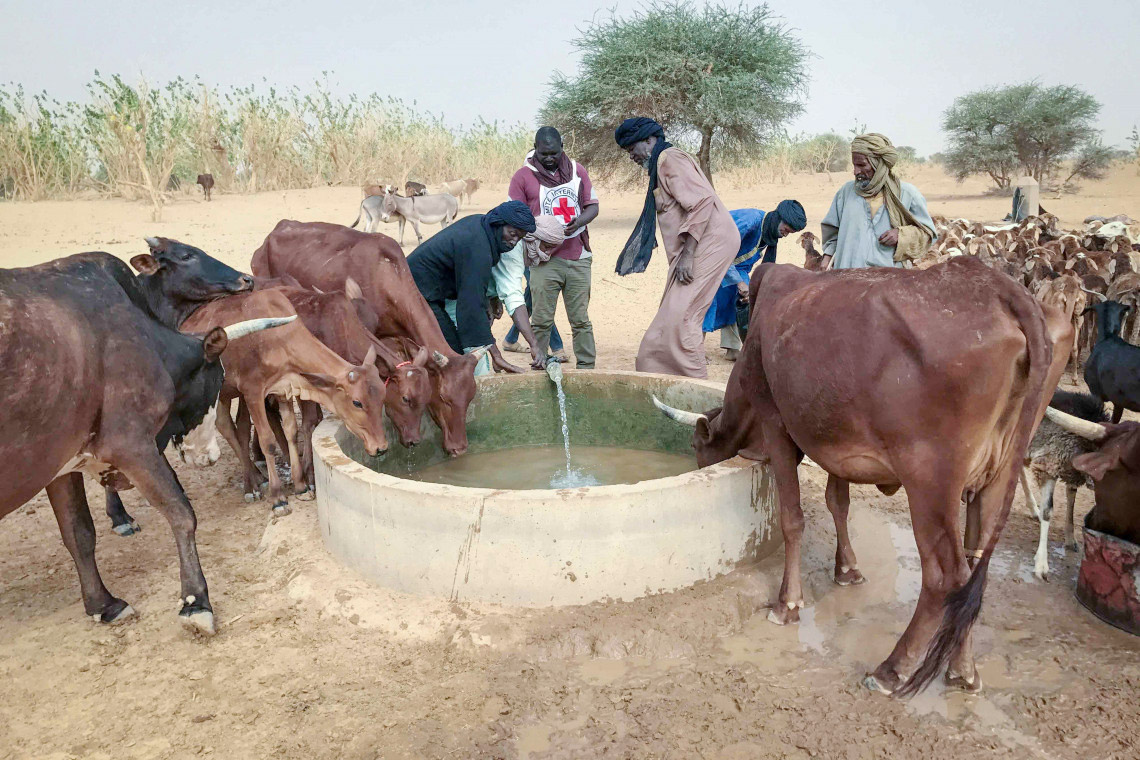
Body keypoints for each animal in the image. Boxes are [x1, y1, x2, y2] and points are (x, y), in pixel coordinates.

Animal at [652, 258, 1067, 697]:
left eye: (697, 450)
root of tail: (1003, 290)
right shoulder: (839, 447)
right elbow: (838, 503)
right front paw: (847, 569)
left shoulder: (777, 427)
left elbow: (792, 519)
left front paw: (788, 603)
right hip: (996, 477)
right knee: (975, 571)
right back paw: (963, 669)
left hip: (931, 482)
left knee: (947, 576)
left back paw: (892, 669)